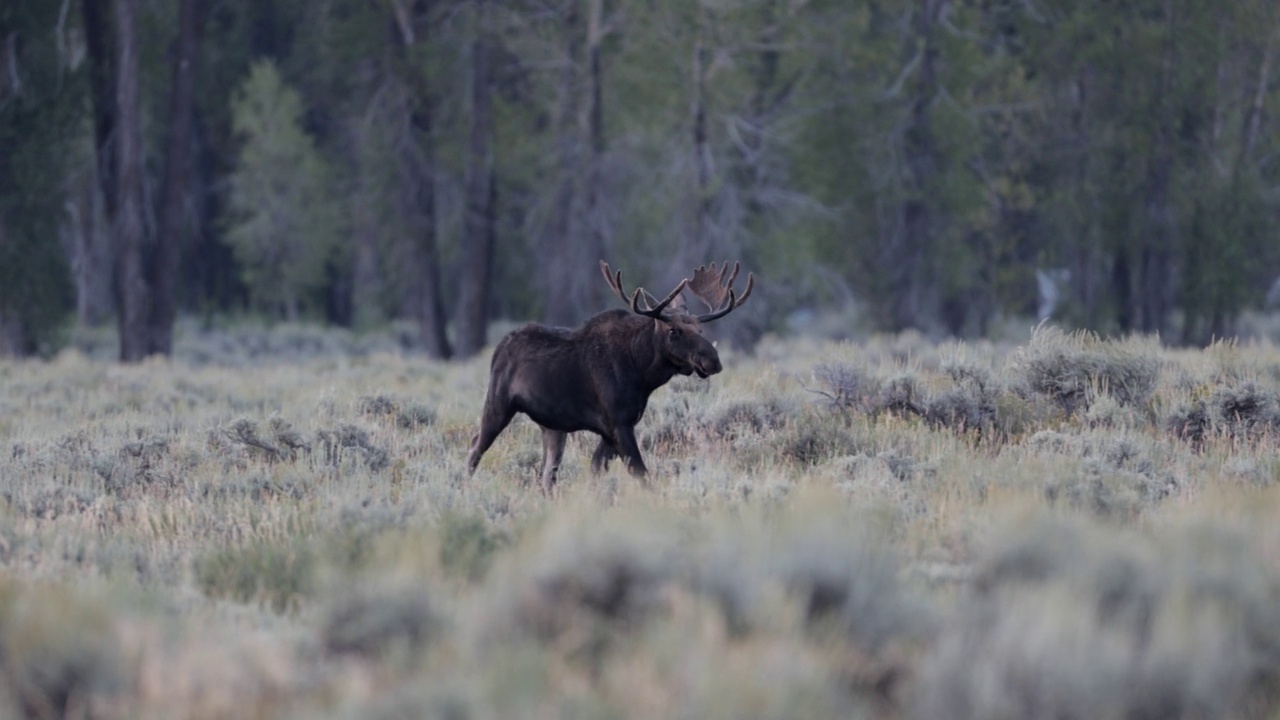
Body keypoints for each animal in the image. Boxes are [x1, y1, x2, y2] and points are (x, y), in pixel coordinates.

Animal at [468, 257, 747, 486]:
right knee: (474, 448)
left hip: (553, 427)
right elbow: (642, 474)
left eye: (700, 329)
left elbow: (596, 471)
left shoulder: (614, 429)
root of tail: (499, 347)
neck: (642, 373)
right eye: (673, 330)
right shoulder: (618, 424)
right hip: (498, 404)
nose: (713, 361)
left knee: (547, 475)